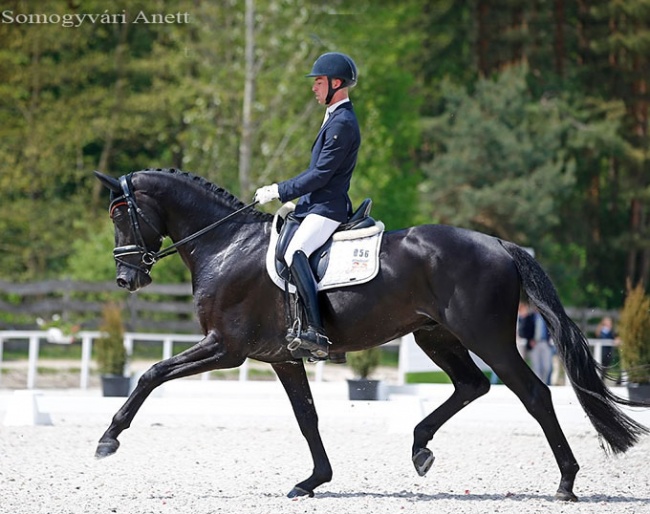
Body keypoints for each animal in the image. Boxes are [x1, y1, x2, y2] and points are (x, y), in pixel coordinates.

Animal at [93, 169, 644, 500]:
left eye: (120, 214)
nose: (126, 279)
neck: (226, 245)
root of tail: (499, 244)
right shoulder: (281, 358)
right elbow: (307, 418)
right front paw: (314, 480)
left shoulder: (225, 349)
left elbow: (152, 373)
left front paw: (108, 439)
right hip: (435, 336)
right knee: (472, 385)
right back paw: (420, 446)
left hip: (486, 336)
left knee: (532, 393)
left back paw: (566, 482)